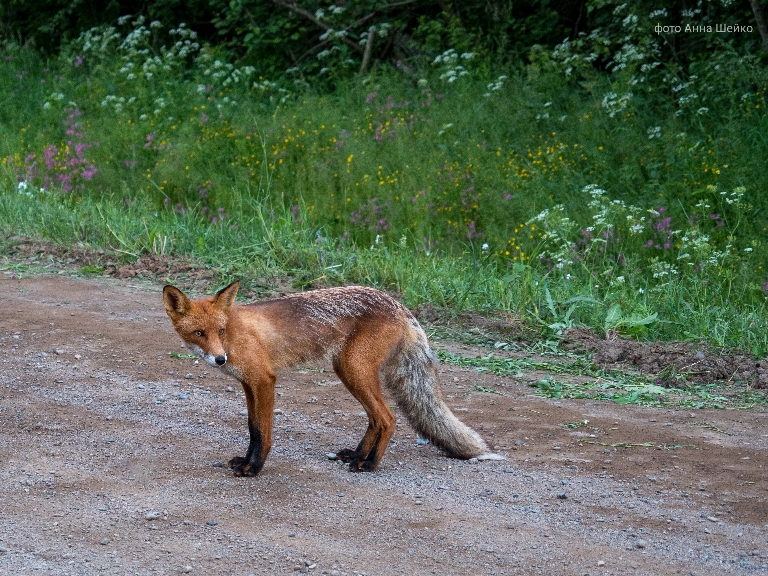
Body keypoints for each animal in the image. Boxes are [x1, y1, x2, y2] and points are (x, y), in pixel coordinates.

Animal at [162, 282, 504, 474]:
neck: (235, 332)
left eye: (219, 331)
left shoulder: (264, 380)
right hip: (348, 371)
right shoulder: (248, 384)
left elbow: (263, 433)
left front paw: (254, 468)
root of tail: (396, 303)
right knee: (375, 419)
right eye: (199, 333)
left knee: (388, 418)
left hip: (354, 369)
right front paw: (247, 461)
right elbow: (252, 429)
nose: (220, 359)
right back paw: (358, 455)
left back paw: (369, 465)